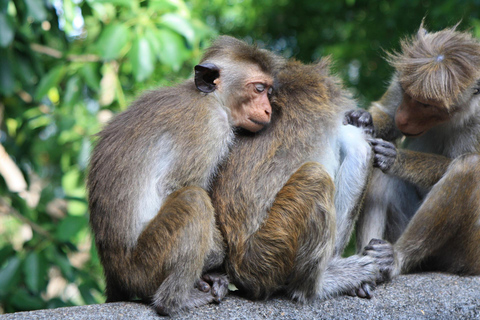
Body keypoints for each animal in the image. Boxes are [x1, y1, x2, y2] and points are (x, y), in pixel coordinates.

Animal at [87, 35, 280, 316]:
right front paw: (215, 259)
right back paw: (174, 300)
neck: (212, 99)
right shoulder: (209, 127)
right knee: (194, 201)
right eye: (258, 88)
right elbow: (175, 185)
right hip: (144, 267)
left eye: (268, 91)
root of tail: (114, 274)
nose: (268, 110)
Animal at [344, 22, 480, 278]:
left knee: (468, 168)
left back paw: (396, 257)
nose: (404, 117)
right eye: (406, 92)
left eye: (426, 104)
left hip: (468, 253)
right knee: (379, 175)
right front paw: (362, 118)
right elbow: (386, 115)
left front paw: (396, 158)